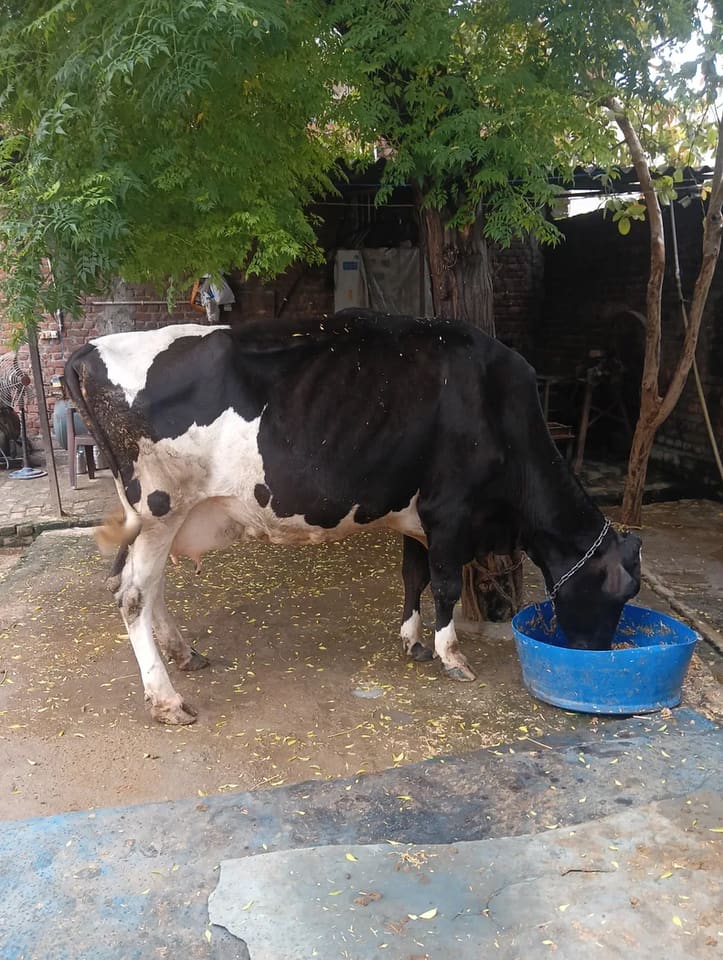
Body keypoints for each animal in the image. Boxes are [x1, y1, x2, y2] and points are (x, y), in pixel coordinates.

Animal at [65, 310, 641, 724]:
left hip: (158, 517)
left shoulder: (418, 516)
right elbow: (446, 585)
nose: (597, 654)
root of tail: (91, 350)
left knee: (145, 586)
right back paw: (167, 700)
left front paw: (413, 641)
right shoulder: (450, 511)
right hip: (161, 506)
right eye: (617, 593)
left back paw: (185, 655)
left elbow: (413, 577)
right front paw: (452, 656)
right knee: (132, 595)